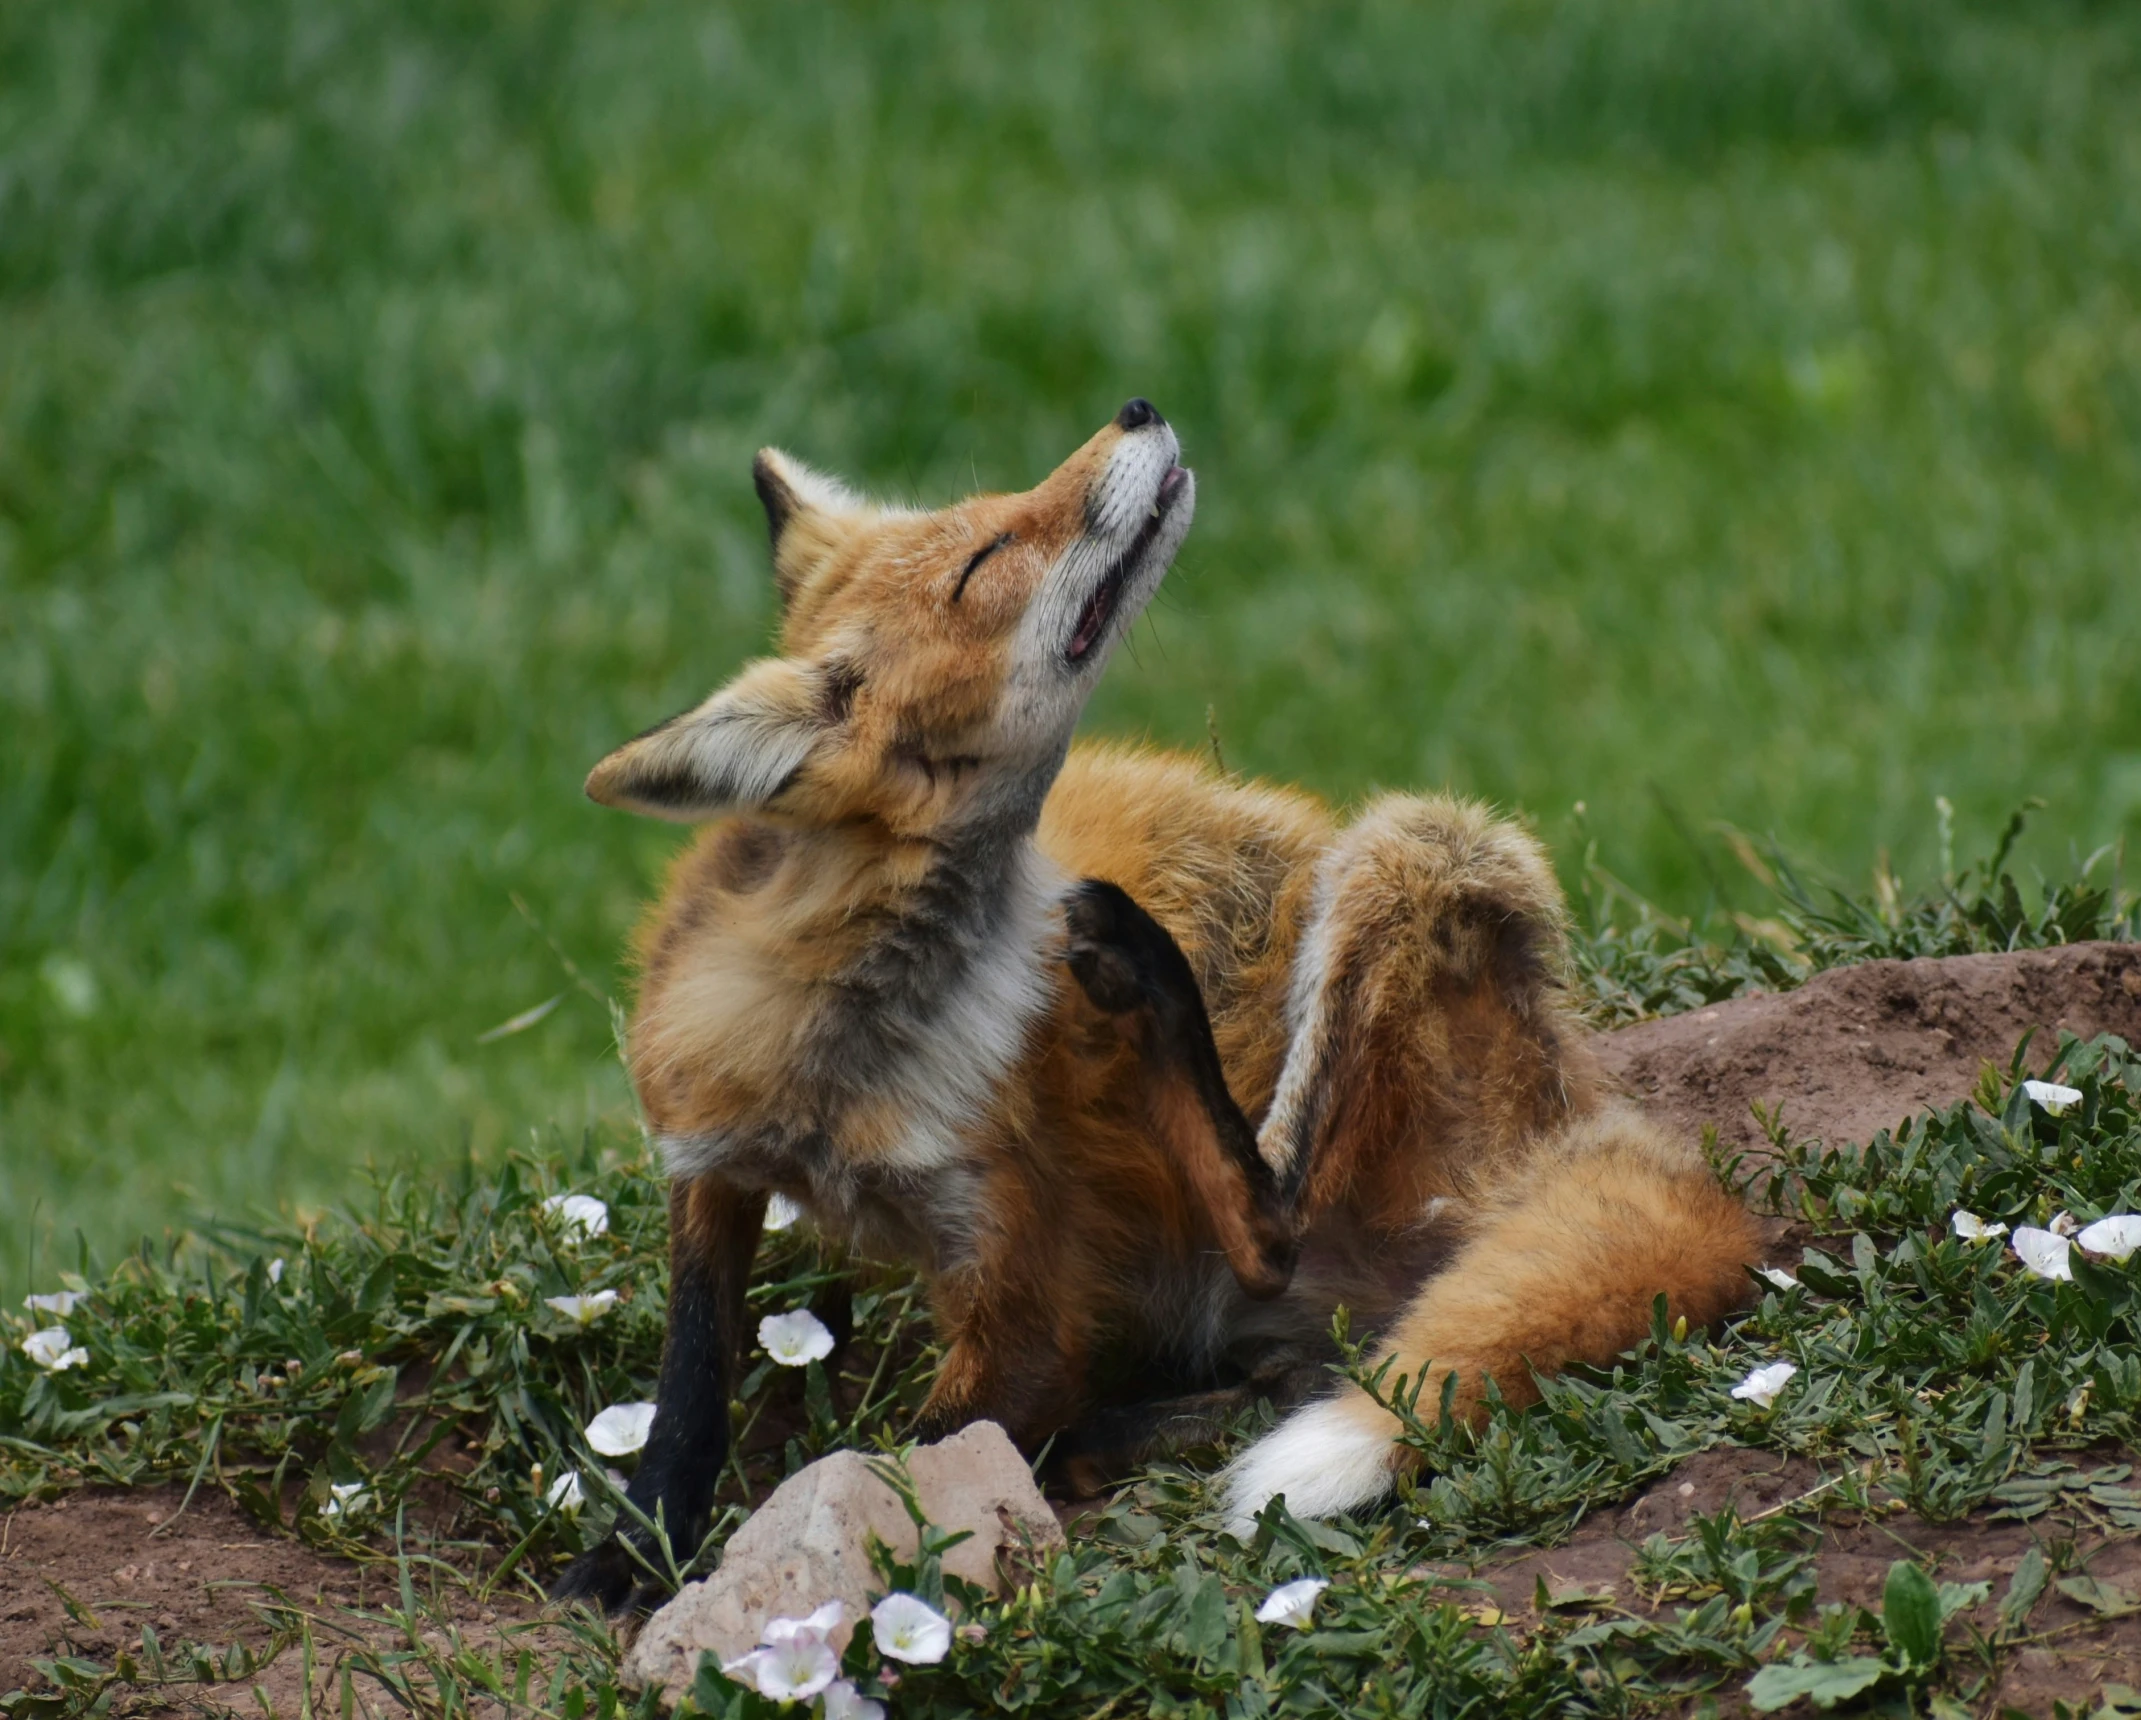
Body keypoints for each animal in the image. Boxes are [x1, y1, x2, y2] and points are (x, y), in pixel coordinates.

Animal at [556, 402, 1755, 1610]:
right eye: (983, 558)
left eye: (982, 524)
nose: (1135, 409)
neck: (842, 1056)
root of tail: (1578, 1106)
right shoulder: (707, 1156)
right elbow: (689, 1386)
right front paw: (632, 1553)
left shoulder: (1025, 1279)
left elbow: (907, 1452)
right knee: (1298, 1355)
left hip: (1413, 846)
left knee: (1270, 1214)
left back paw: (1144, 981)